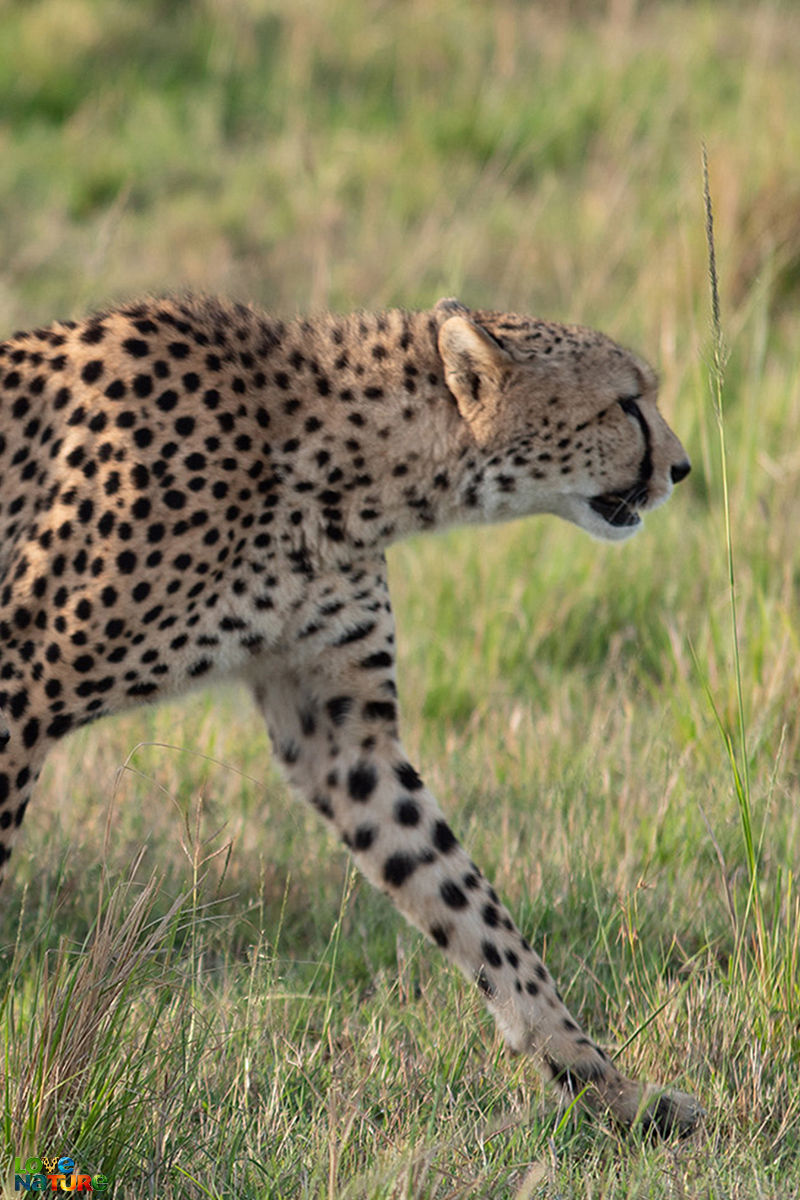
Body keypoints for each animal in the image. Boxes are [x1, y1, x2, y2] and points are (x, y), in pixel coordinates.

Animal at [0, 292, 700, 1132]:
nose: (682, 468)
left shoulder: (339, 734)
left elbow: (464, 900)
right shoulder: (19, 681)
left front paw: (605, 1084)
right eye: (625, 402)